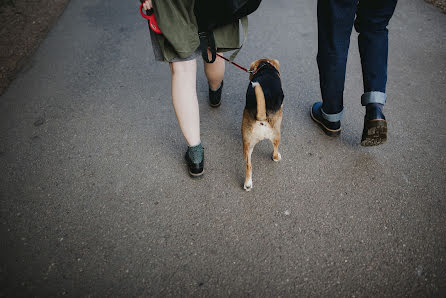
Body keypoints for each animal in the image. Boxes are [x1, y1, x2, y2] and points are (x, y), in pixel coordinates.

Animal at [242, 58, 284, 191]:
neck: (265, 67)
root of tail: (261, 117)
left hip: (247, 145)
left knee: (248, 165)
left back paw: (248, 184)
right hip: (277, 135)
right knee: (275, 151)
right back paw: (277, 157)